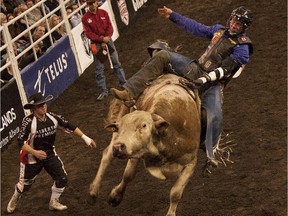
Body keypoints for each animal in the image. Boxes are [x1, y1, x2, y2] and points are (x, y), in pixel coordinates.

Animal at [89, 74, 200, 216]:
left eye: (144, 125)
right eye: (119, 127)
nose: (119, 147)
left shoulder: (191, 162)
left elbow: (175, 192)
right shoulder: (135, 152)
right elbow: (128, 175)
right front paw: (115, 196)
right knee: (107, 156)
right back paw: (93, 192)